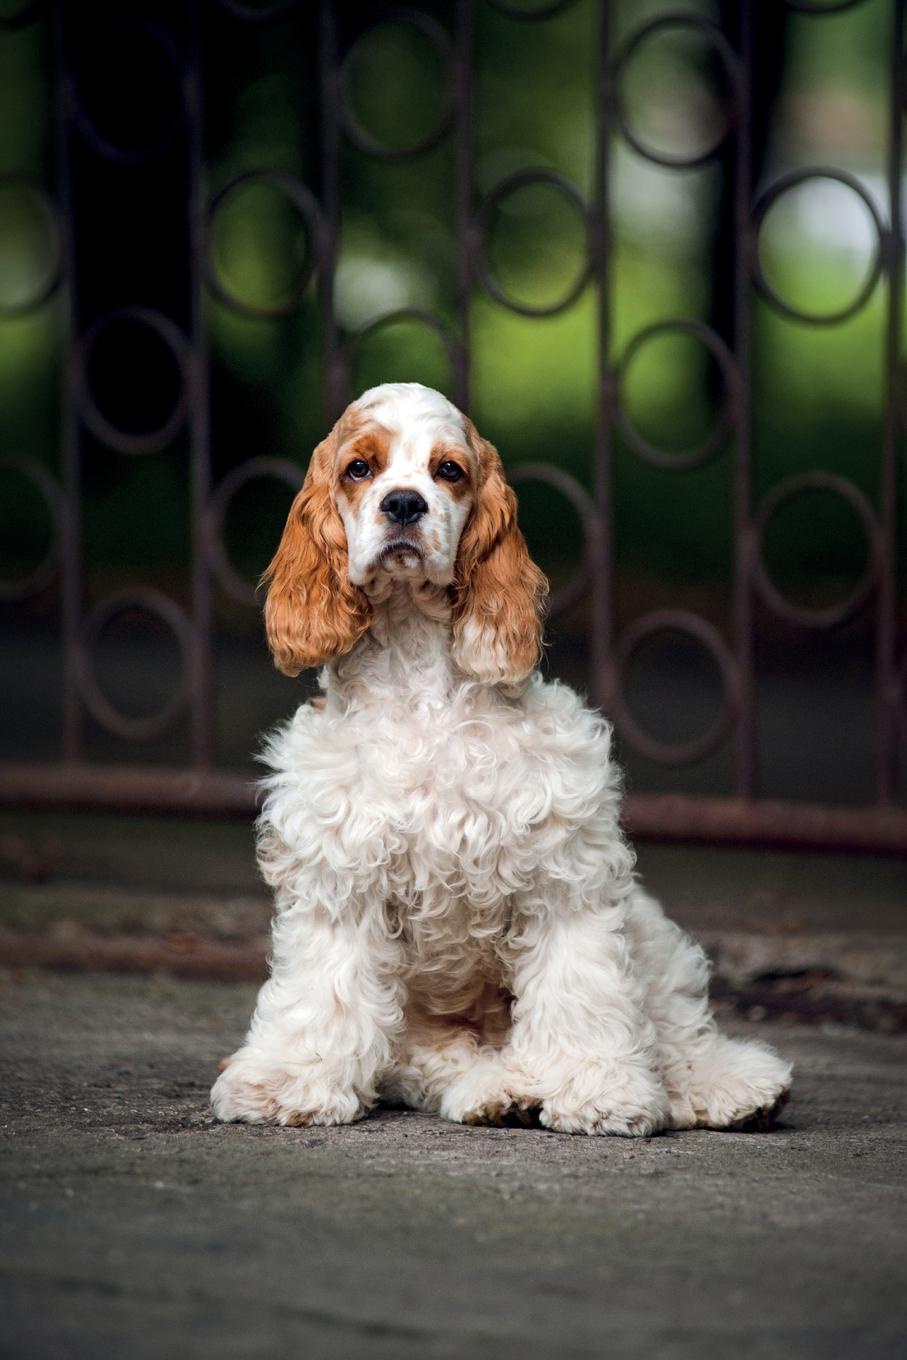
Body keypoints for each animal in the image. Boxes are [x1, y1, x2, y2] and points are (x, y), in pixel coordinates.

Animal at [209, 378, 788, 1131]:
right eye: (359, 468)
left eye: (448, 471)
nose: (404, 504)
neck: (421, 679)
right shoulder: (341, 879)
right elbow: (323, 992)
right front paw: (286, 1083)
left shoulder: (565, 876)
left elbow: (584, 993)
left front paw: (596, 1090)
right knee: (434, 1063)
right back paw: (500, 1091)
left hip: (645, 924)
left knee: (674, 1024)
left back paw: (731, 1087)